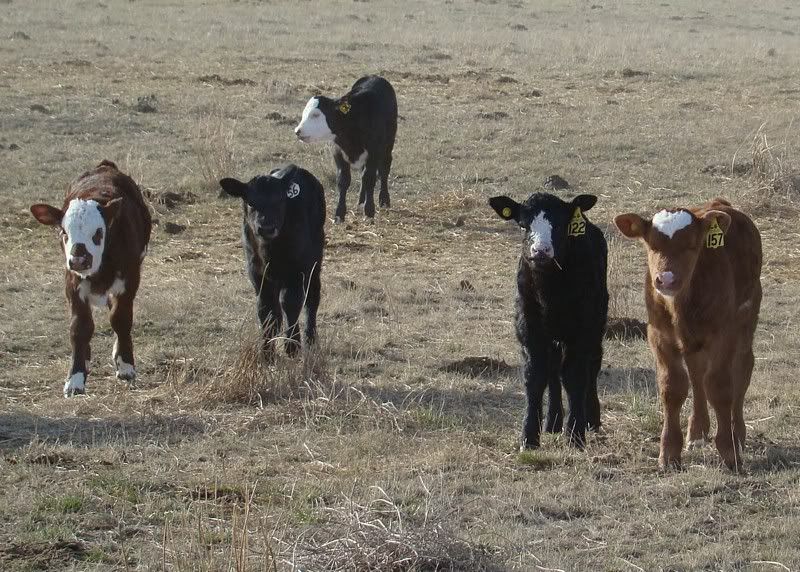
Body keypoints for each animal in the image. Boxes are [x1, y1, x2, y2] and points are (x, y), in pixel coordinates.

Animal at [30, 160, 152, 397]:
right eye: (63, 232)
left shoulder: (129, 279)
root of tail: (104, 166)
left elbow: (120, 319)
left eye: (98, 232)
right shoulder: (73, 284)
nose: (78, 260)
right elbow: (80, 328)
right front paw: (75, 378)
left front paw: (126, 366)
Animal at [219, 164, 325, 358]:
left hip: (314, 263)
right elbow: (266, 309)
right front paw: (267, 352)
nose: (266, 228)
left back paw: (311, 339)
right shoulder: (257, 273)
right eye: (250, 202)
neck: (270, 251)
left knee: (312, 298)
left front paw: (292, 346)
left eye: (280, 200)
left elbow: (290, 303)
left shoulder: (297, 271)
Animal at [294, 75, 397, 223]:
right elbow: (343, 180)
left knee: (384, 169)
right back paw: (361, 200)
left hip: (388, 144)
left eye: (316, 114)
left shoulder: (374, 152)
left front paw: (369, 211)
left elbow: (370, 178)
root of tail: (375, 77)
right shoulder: (338, 151)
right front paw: (339, 213)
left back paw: (384, 200)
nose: (297, 131)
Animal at [490, 192, 608, 450]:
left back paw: (591, 419)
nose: (541, 251)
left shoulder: (582, 329)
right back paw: (553, 422)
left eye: (561, 225)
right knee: (553, 370)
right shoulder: (528, 327)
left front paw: (575, 435)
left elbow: (575, 376)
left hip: (597, 323)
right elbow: (535, 376)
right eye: (523, 225)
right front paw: (529, 437)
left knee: (592, 365)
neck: (550, 293)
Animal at [614, 198, 762, 471]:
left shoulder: (723, 334)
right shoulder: (658, 335)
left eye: (692, 246)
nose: (666, 280)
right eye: (651, 244)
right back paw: (697, 432)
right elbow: (673, 387)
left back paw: (738, 435)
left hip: (747, 319)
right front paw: (669, 452)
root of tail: (720, 203)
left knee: (742, 369)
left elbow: (720, 387)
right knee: (696, 374)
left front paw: (729, 451)